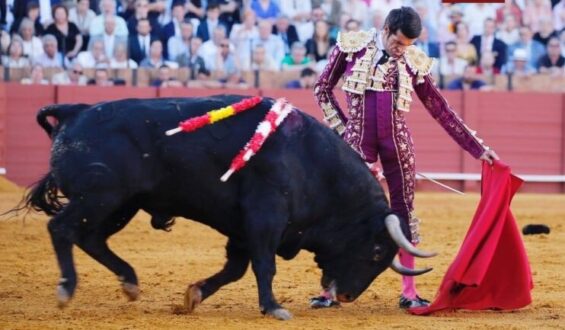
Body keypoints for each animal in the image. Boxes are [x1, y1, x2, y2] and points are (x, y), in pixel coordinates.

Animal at [22, 94, 434, 320]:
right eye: (377, 250)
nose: (347, 296)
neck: (311, 161)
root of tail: (75, 111)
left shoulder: (241, 229)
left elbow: (235, 269)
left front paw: (193, 296)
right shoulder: (265, 217)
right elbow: (263, 265)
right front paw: (273, 307)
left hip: (120, 205)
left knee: (91, 238)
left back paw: (130, 283)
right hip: (99, 196)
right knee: (62, 228)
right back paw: (67, 289)